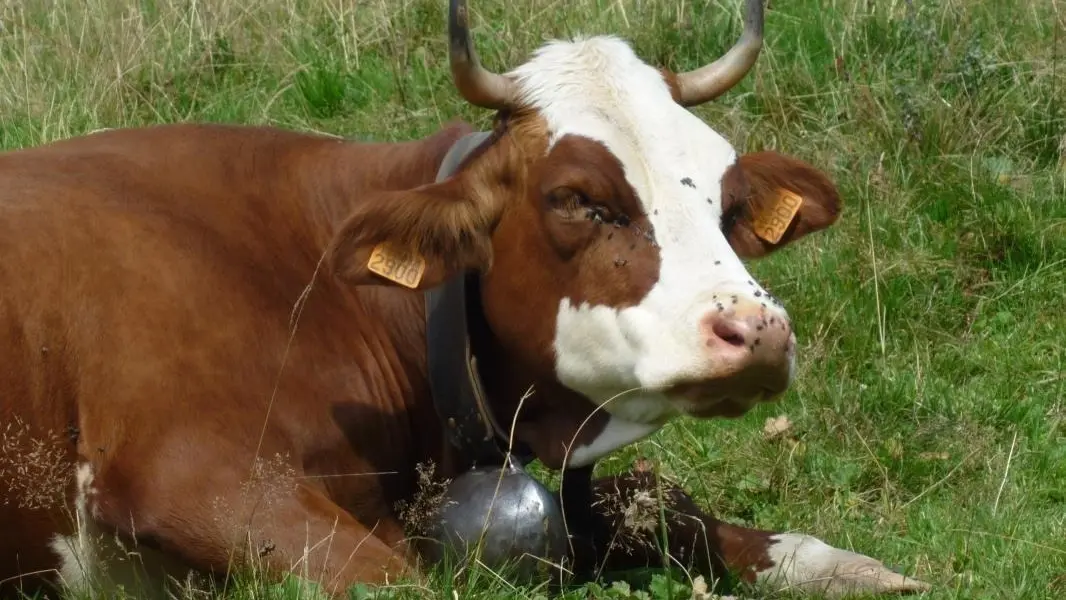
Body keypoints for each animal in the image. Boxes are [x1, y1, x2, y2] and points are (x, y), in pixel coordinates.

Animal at [0, 0, 931, 598]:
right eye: (577, 198)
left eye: (729, 201)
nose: (758, 332)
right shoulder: (193, 473)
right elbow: (403, 582)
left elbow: (659, 503)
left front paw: (841, 566)